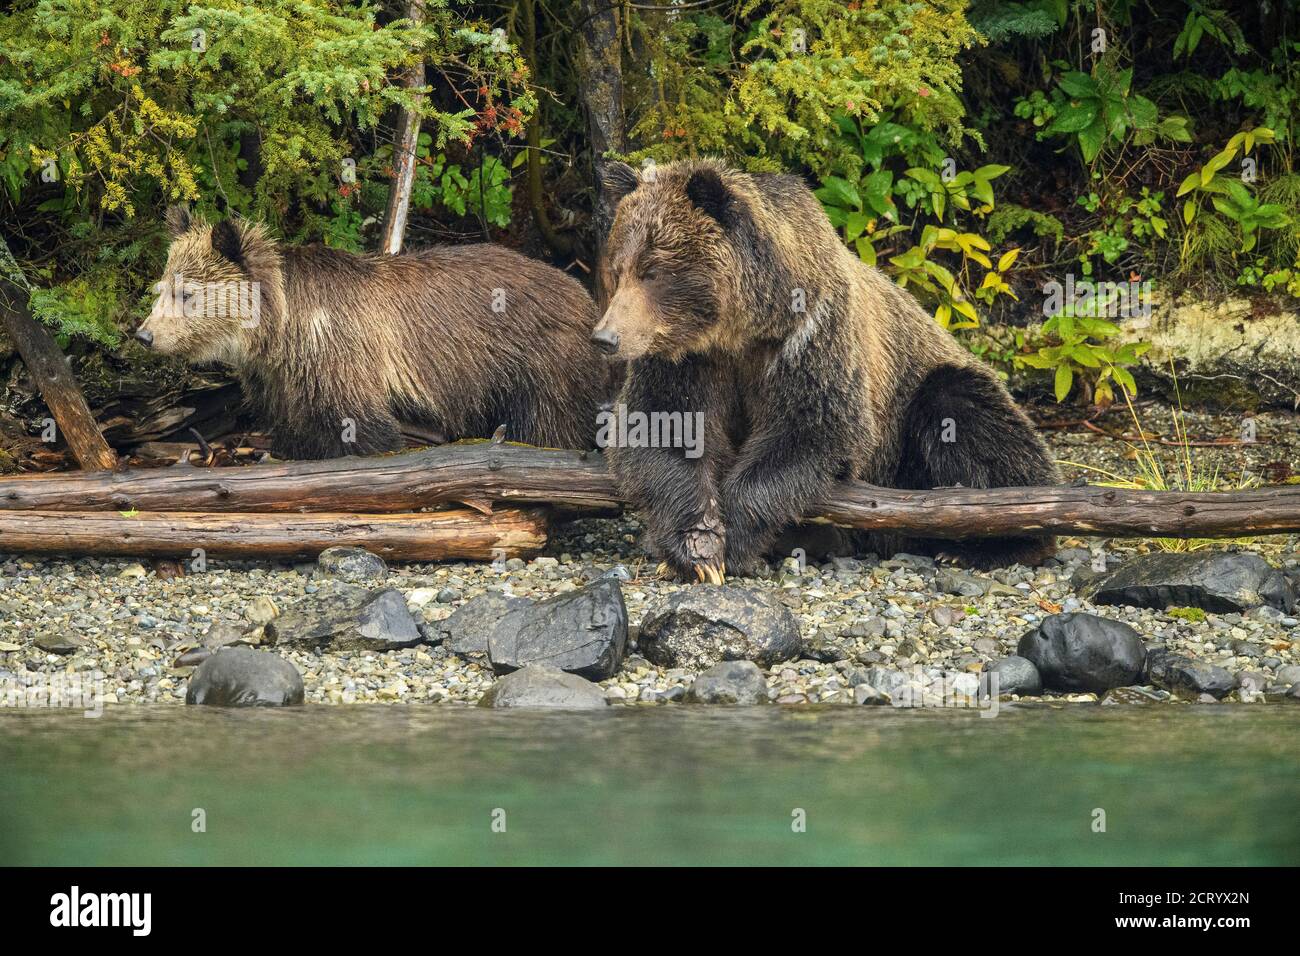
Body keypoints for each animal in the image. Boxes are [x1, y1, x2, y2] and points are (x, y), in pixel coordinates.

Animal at [137, 208, 603, 460]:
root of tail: (583, 293)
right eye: (161, 287)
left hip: (538, 359)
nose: (145, 334)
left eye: (187, 293)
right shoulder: (281, 379)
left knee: (549, 421)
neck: (282, 331)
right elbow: (297, 427)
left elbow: (363, 427)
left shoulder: (340, 355)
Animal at [595, 158, 1060, 582]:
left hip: (918, 412)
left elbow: (814, 428)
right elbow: (664, 427)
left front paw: (737, 537)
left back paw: (985, 544)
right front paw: (699, 547)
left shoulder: (812, 335)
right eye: (617, 270)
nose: (606, 337)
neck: (740, 329)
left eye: (653, 271)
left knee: (964, 409)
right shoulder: (686, 360)